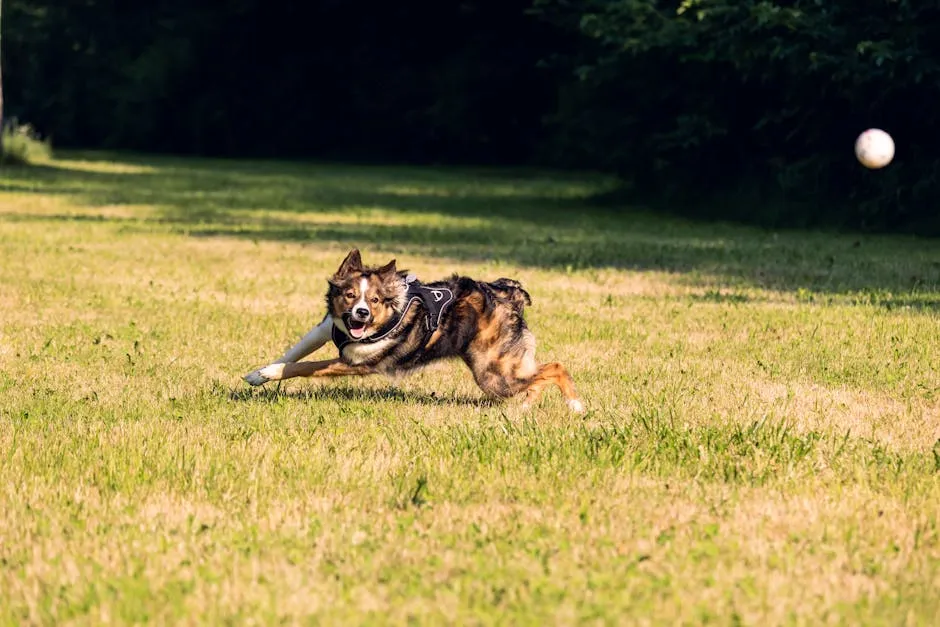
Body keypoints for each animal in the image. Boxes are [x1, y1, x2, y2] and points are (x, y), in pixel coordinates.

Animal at [242, 250, 580, 412]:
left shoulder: (359, 361)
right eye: (350, 295)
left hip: (493, 375)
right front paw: (259, 374)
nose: (361, 313)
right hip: (502, 367)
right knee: (538, 375)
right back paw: (526, 406)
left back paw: (574, 405)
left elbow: (305, 365)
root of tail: (508, 293)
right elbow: (295, 353)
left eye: (375, 300)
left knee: (556, 367)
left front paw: (269, 373)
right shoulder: (326, 328)